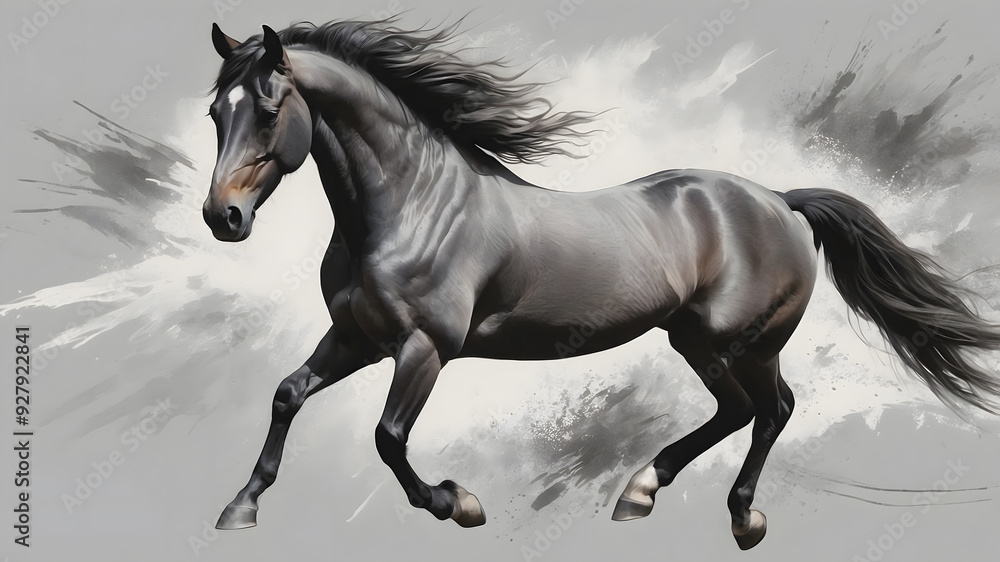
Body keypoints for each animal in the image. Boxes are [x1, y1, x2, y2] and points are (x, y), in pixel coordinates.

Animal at [203, 20, 1000, 550]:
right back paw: (698, 506)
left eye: (269, 110)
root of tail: (780, 199)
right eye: (216, 112)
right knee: (761, 411)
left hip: (730, 341)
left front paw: (458, 503)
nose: (222, 217)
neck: (411, 204)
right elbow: (287, 394)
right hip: (717, 342)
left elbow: (388, 439)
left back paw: (679, 501)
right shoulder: (356, 335)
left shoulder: (425, 348)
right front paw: (240, 507)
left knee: (757, 410)